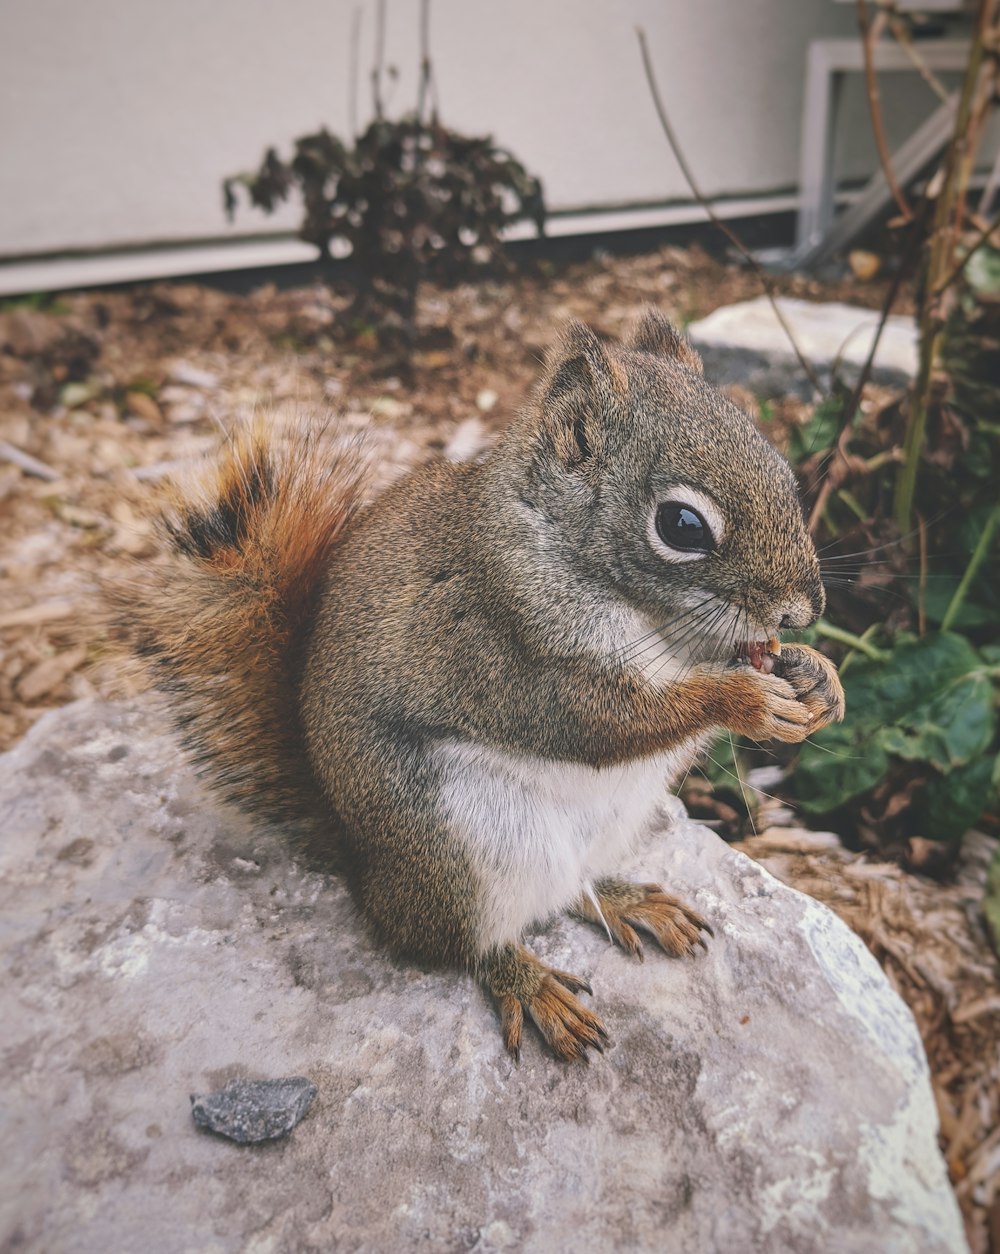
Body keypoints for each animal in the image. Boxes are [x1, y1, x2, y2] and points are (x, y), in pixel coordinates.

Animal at [109, 310, 843, 1058]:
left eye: (782, 470)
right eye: (682, 525)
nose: (803, 609)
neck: (650, 616)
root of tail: (366, 873)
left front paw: (820, 677)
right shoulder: (501, 645)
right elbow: (596, 723)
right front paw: (744, 700)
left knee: (572, 890)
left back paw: (627, 900)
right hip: (463, 852)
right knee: (459, 944)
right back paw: (528, 982)